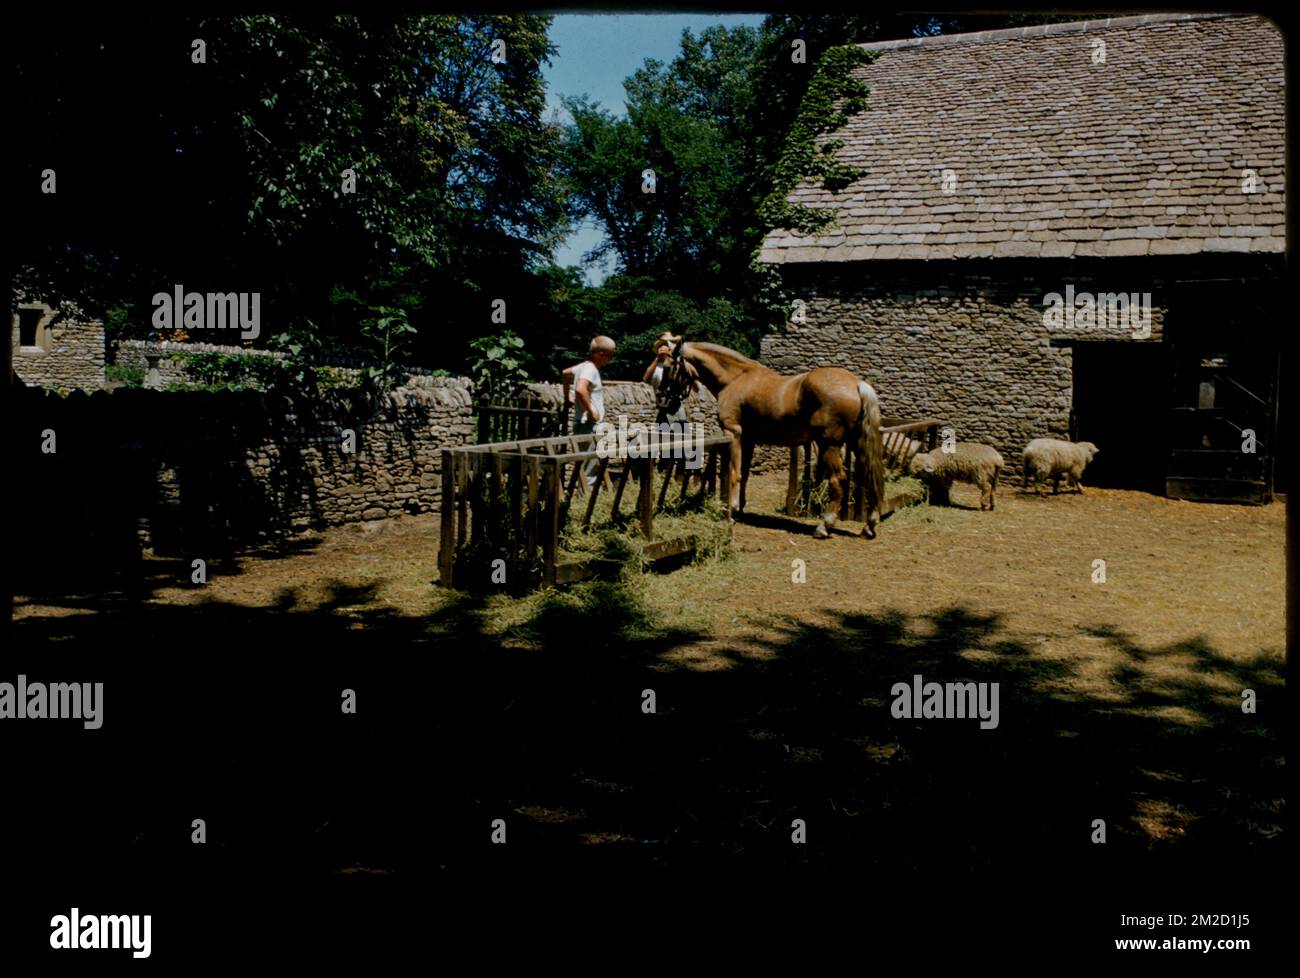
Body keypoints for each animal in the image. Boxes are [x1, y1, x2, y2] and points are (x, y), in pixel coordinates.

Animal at [655, 335, 889, 535]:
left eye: (667, 366)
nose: (663, 402)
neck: (736, 379)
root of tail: (857, 384)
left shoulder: (734, 434)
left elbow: (734, 473)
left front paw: (732, 510)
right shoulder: (749, 440)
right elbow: (745, 474)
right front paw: (739, 507)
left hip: (829, 445)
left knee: (838, 478)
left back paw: (825, 525)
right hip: (856, 443)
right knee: (869, 473)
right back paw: (870, 524)